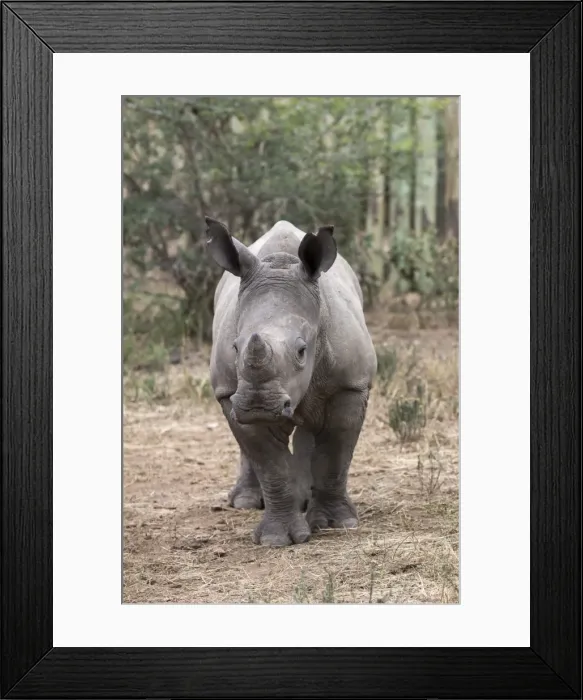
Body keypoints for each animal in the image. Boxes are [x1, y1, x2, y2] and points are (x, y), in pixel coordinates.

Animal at [206, 217, 377, 547]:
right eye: (235, 347)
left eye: (301, 351)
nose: (259, 404)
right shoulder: (229, 392)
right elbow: (270, 464)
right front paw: (277, 539)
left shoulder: (351, 384)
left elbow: (335, 451)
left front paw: (337, 523)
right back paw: (246, 502)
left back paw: (307, 500)